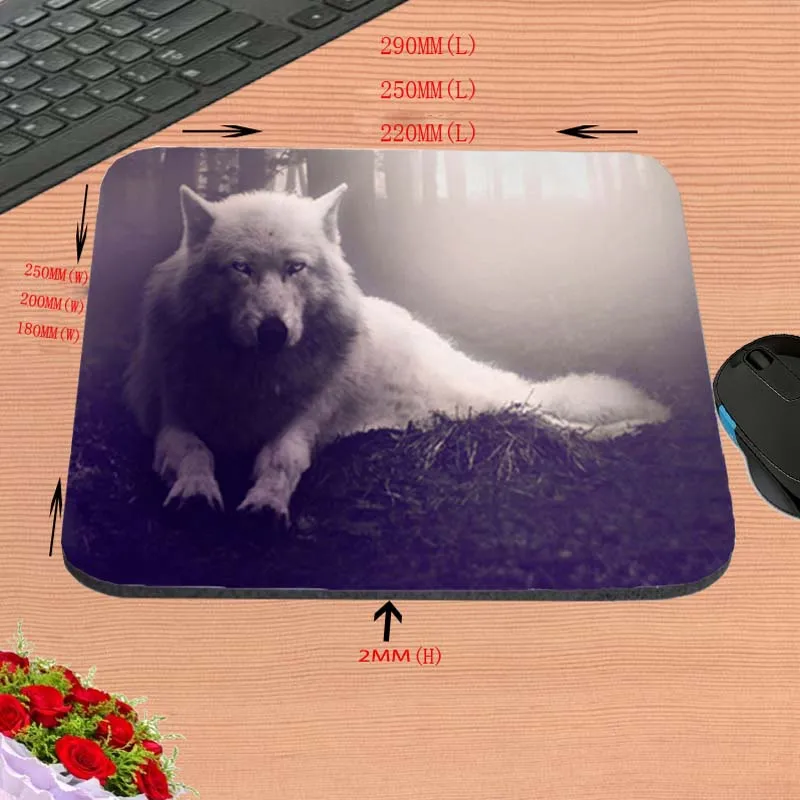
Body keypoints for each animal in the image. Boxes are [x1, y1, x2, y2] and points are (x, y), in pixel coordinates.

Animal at [124, 183, 671, 522]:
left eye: (296, 268)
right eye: (240, 268)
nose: (274, 331)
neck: (253, 379)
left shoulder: (305, 421)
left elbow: (281, 458)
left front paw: (265, 503)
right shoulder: (171, 417)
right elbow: (193, 451)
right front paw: (197, 492)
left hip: (479, 405)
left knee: (550, 420)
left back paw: (639, 424)